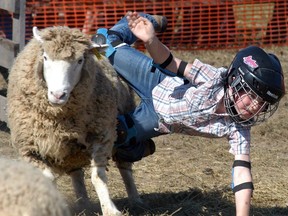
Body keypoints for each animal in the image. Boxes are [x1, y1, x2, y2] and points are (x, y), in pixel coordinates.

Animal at [6, 25, 141, 216]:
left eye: (80, 60)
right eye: (45, 57)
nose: (58, 95)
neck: (58, 118)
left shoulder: (101, 136)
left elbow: (98, 177)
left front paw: (110, 209)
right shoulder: (29, 148)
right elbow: (48, 179)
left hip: (124, 135)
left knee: (125, 168)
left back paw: (135, 199)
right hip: (72, 150)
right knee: (77, 174)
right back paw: (82, 203)